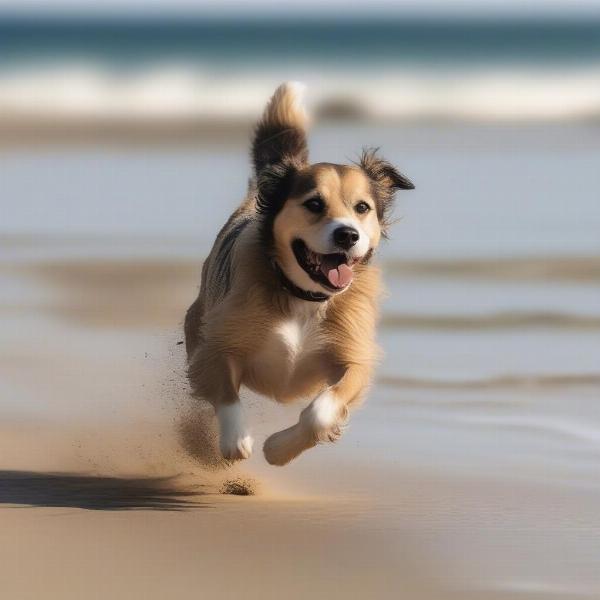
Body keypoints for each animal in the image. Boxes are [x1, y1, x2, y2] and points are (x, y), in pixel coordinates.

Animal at [185, 83, 414, 464]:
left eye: (362, 207)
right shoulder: (219, 341)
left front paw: (279, 448)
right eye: (314, 204)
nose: (347, 235)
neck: (304, 297)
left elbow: (323, 408)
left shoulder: (352, 352)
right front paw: (235, 439)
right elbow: (225, 392)